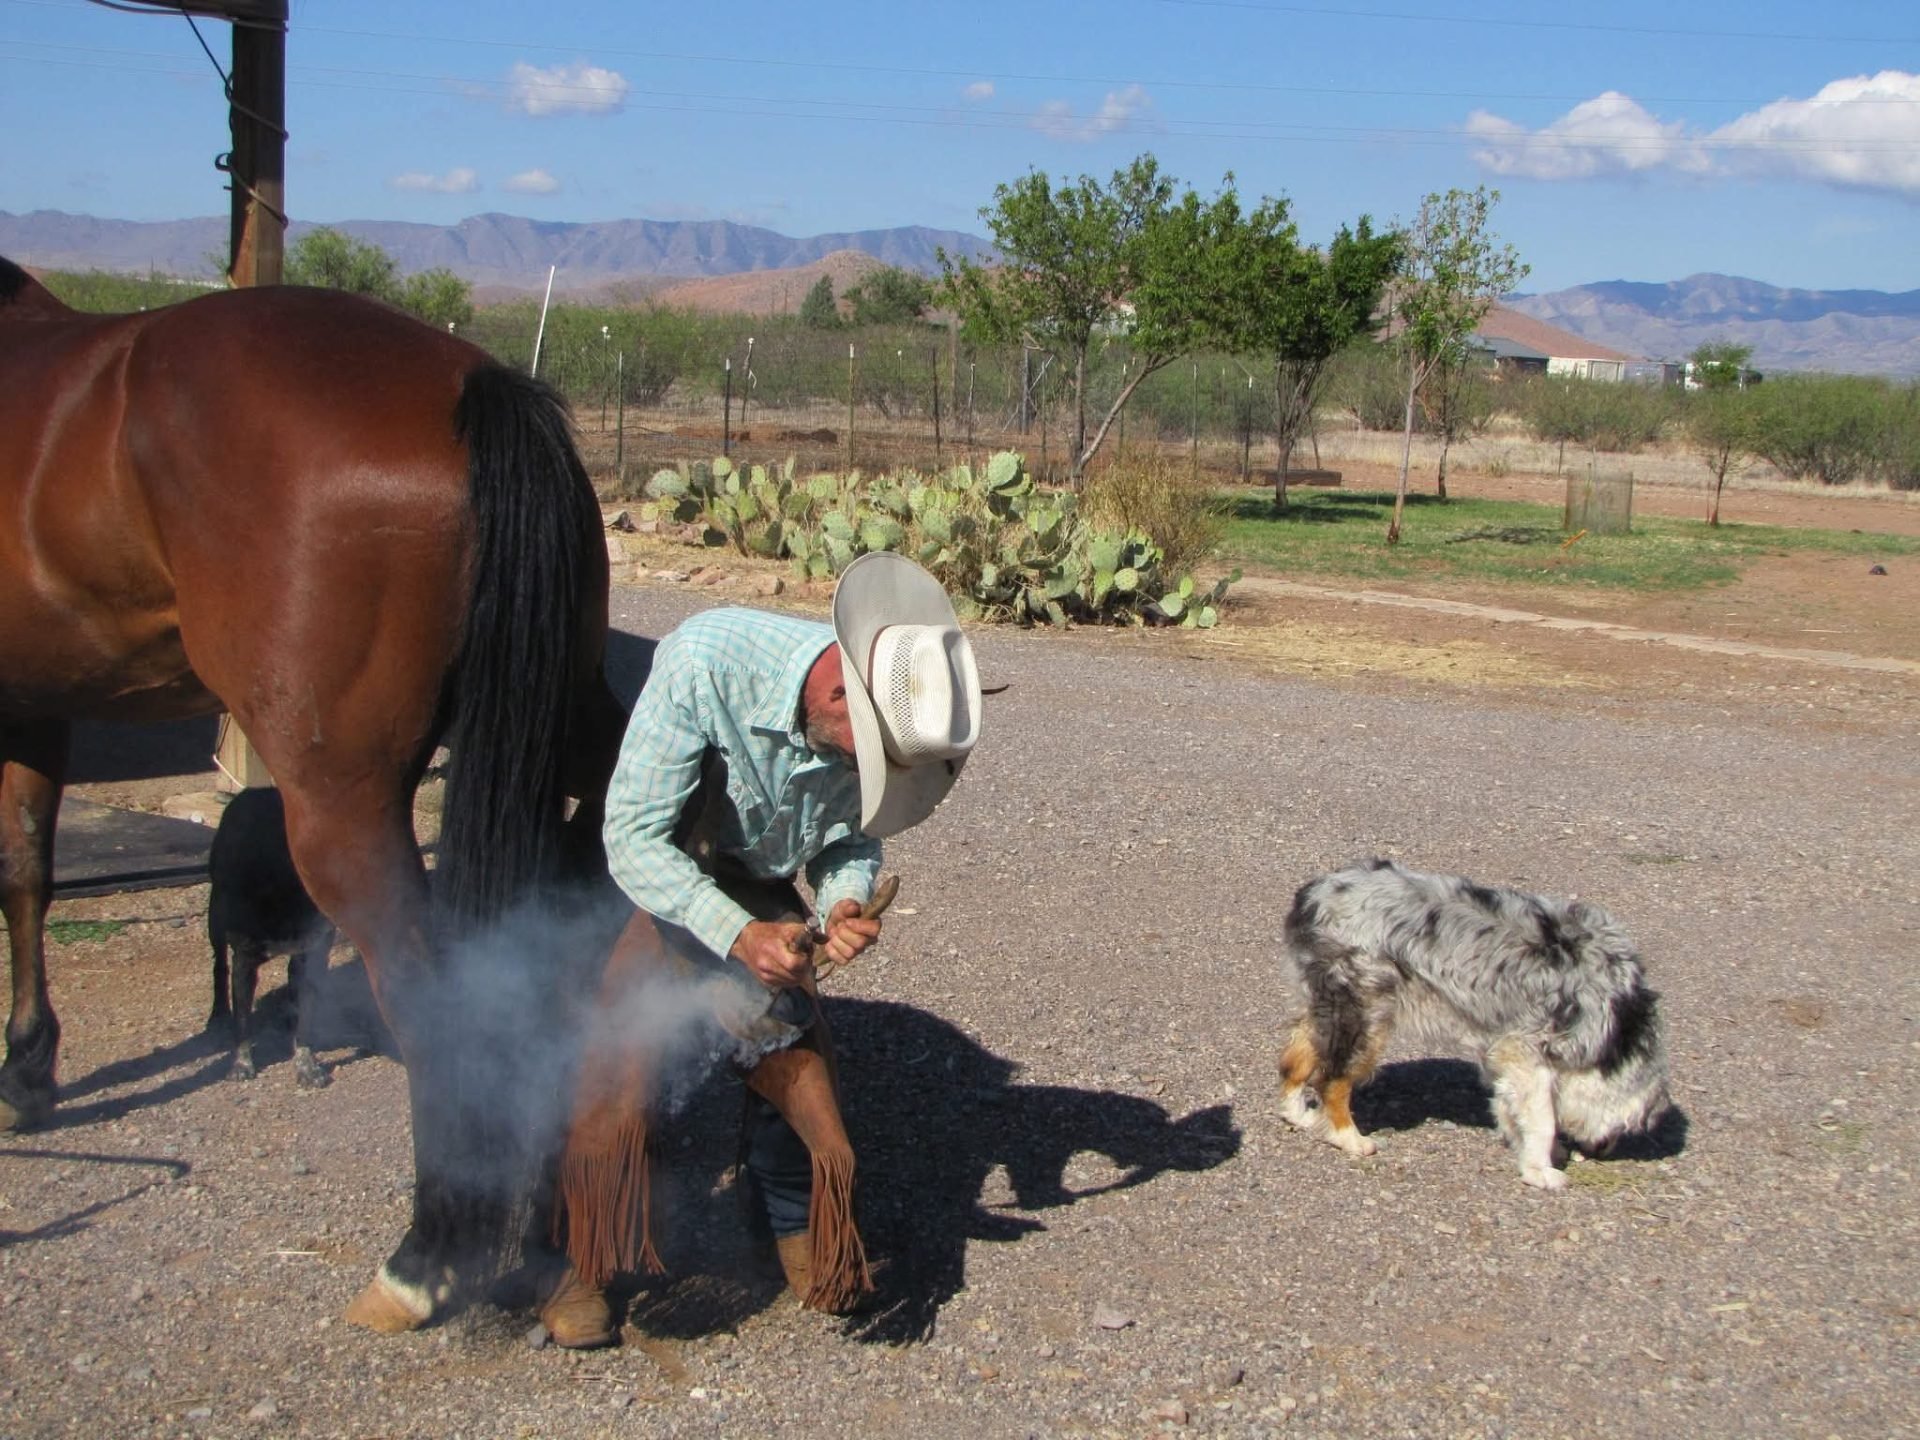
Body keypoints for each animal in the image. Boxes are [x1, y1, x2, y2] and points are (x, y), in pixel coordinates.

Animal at [0, 257, 629, 1333]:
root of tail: (472, 386)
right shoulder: (38, 704)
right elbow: (28, 867)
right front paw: (28, 1067)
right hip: (564, 744)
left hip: (342, 805)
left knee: (438, 991)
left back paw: (426, 1260)